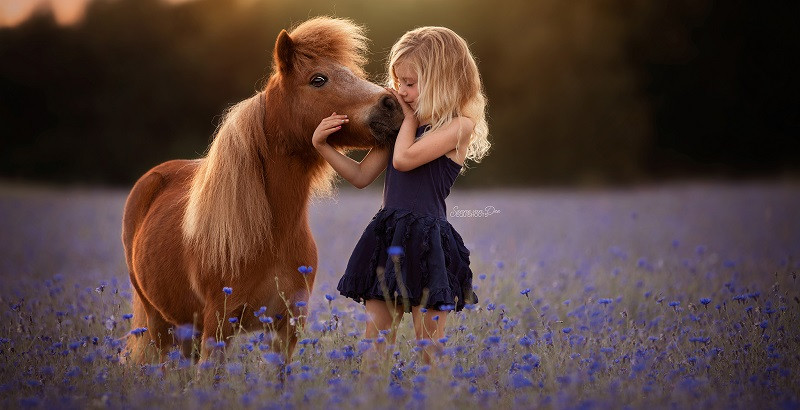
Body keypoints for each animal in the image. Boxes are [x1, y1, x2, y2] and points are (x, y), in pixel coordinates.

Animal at [122, 17, 403, 363]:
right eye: (318, 79)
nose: (392, 105)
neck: (273, 236)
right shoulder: (218, 326)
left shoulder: (287, 328)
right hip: (160, 324)